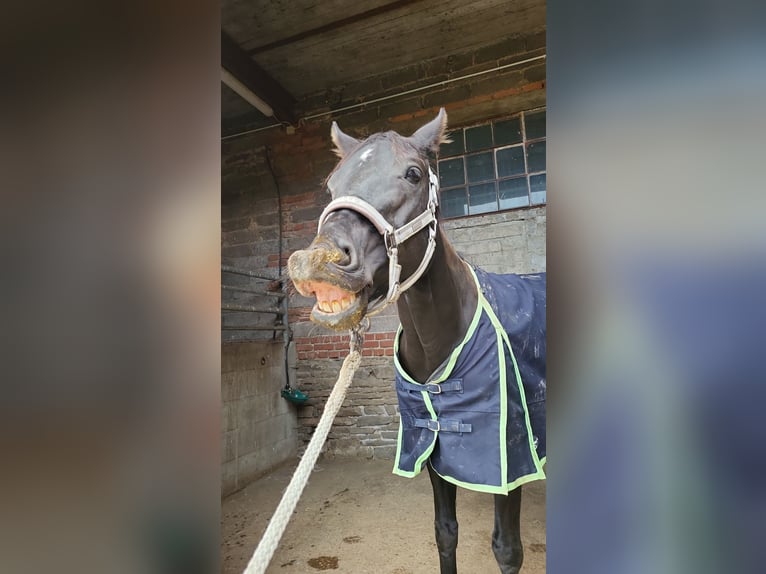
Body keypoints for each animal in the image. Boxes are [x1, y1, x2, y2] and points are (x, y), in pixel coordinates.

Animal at [288, 109, 544, 574]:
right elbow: (445, 532)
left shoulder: (510, 459)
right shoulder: (433, 448)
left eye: (413, 173)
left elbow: (507, 549)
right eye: (332, 184)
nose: (316, 263)